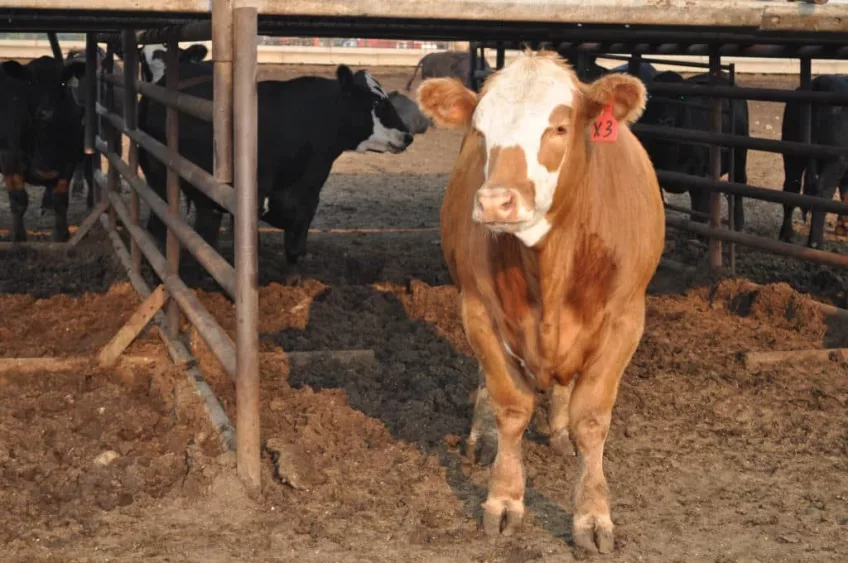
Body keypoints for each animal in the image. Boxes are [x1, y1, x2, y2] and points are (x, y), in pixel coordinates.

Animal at [0, 56, 86, 242]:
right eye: (30, 82)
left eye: (62, 83)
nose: (46, 113)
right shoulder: (10, 159)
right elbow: (19, 200)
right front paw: (18, 236)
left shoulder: (67, 162)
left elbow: (60, 201)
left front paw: (62, 235)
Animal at [137, 56, 412, 280]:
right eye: (376, 100)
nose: (408, 135)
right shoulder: (252, 198)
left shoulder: (308, 198)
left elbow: (295, 248)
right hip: (158, 176)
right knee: (158, 226)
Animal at [417, 49, 665, 554]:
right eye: (481, 131)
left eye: (559, 128)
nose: (495, 202)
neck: (550, 263)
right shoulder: (479, 312)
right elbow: (510, 408)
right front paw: (504, 499)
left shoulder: (626, 320)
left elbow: (592, 420)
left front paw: (592, 513)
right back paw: (481, 436)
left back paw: (560, 430)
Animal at [780, 74, 848, 247]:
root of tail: (823, 81)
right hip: (835, 159)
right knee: (823, 193)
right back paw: (816, 243)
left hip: (792, 150)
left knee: (791, 186)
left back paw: (787, 235)